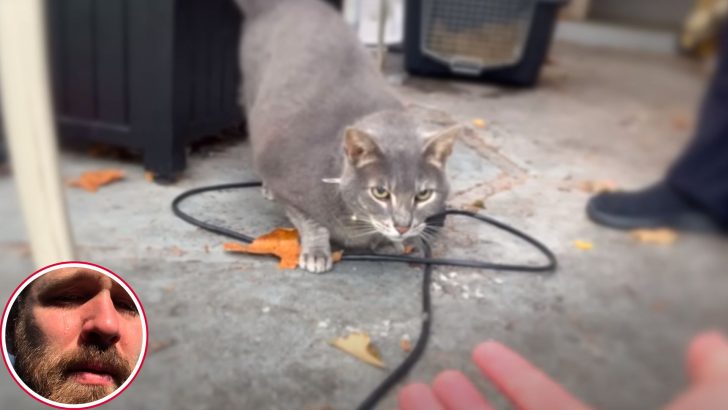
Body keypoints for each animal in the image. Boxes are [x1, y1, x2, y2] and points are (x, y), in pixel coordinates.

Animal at [235, 0, 460, 272]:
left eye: (424, 195)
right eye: (380, 192)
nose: (403, 226)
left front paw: (386, 242)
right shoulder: (285, 181)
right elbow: (311, 222)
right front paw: (316, 252)